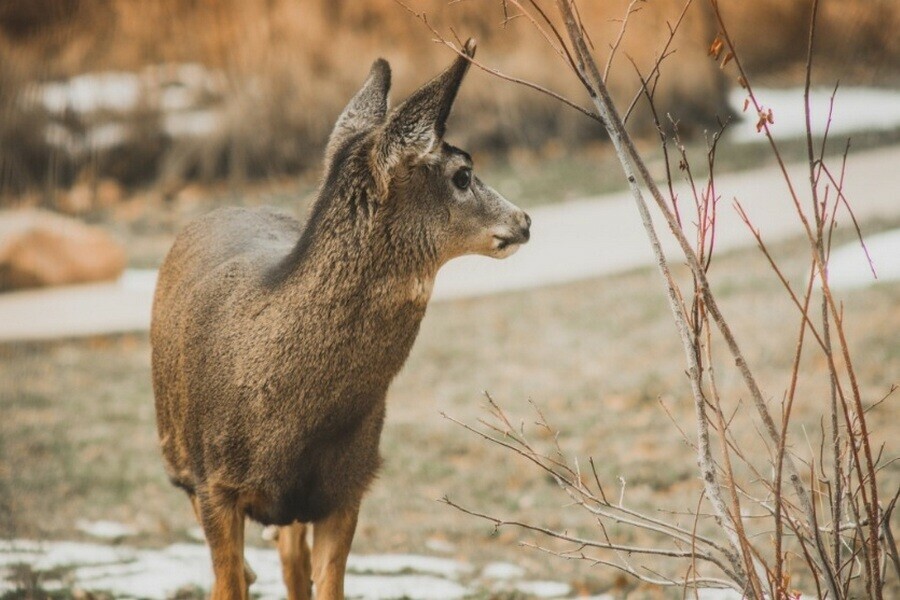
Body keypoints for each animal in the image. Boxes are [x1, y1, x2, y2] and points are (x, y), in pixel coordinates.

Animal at [148, 38, 528, 600]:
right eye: (462, 175)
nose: (525, 220)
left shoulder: (350, 484)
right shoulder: (215, 483)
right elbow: (227, 579)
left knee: (291, 559)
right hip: (177, 453)